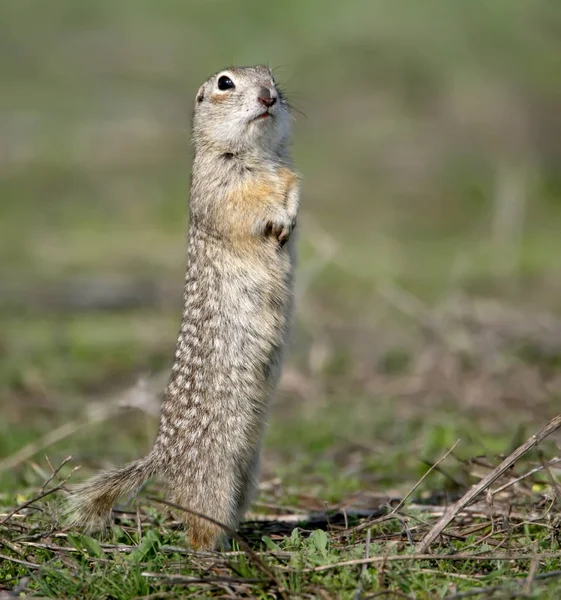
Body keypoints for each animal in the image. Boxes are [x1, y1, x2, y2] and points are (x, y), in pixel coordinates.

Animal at [65, 64, 298, 548]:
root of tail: (163, 456)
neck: (256, 154)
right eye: (225, 83)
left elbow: (293, 187)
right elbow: (246, 209)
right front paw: (278, 221)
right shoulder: (221, 189)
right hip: (211, 477)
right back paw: (212, 553)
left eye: (271, 75)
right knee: (197, 524)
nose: (268, 96)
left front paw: (291, 216)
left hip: (247, 474)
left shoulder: (287, 173)